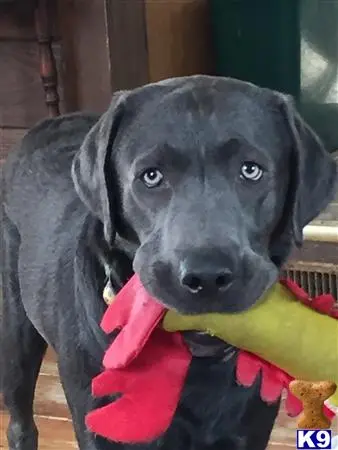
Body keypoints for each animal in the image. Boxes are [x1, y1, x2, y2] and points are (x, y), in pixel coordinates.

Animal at [2, 75, 338, 448]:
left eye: (251, 170)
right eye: (151, 176)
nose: (207, 277)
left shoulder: (250, 429)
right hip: (16, 337)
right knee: (20, 421)